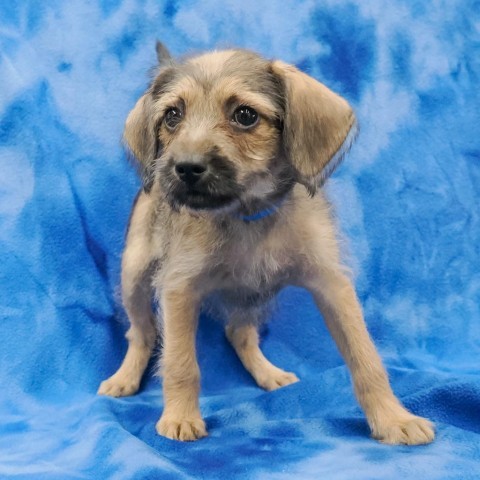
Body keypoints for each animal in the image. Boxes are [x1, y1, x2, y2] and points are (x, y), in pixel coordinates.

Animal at [98, 43, 436, 444]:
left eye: (245, 116)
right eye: (172, 116)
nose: (186, 167)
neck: (248, 214)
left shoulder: (332, 284)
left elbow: (365, 357)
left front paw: (393, 418)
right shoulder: (178, 287)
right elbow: (181, 362)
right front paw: (180, 416)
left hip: (256, 292)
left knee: (238, 332)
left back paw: (268, 373)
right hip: (134, 275)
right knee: (141, 332)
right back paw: (124, 378)